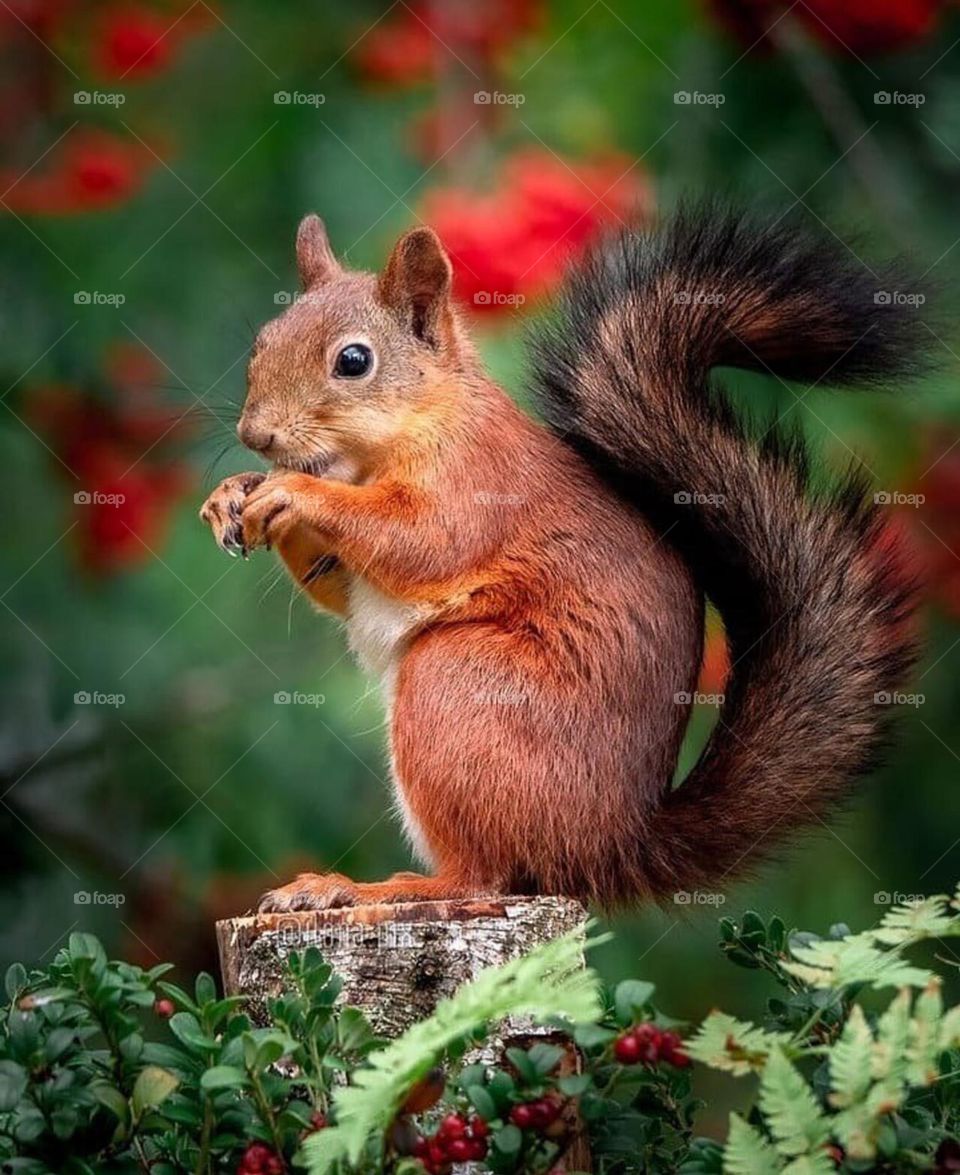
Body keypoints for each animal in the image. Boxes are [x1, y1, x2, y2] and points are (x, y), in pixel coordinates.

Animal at [200, 203, 926, 913]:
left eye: (354, 360)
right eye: (263, 341)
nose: (254, 434)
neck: (403, 434)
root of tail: (610, 846)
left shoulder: (476, 486)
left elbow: (424, 542)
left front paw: (294, 492)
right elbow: (339, 587)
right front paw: (231, 494)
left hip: (460, 685)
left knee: (482, 881)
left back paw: (368, 888)